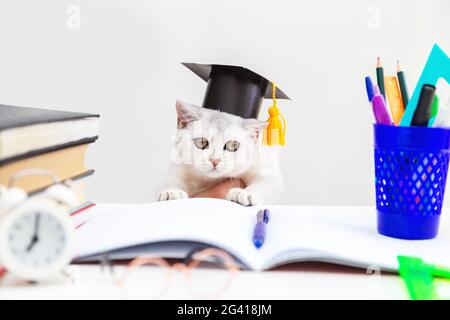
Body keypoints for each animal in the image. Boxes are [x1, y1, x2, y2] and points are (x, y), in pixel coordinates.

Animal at [156, 100, 284, 206]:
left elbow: (265, 184)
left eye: (233, 145)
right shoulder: (178, 166)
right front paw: (171, 192)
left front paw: (244, 194)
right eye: (201, 142)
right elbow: (170, 179)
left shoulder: (265, 169)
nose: (214, 160)